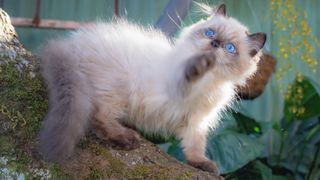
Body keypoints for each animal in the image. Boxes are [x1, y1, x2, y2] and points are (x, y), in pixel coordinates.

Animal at [38, 3, 266, 174]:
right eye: (209, 33)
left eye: (230, 48)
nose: (215, 44)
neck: (209, 82)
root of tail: (71, 44)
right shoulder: (178, 88)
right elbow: (189, 76)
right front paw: (199, 64)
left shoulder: (197, 121)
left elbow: (195, 146)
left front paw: (202, 164)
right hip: (117, 88)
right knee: (100, 116)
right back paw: (126, 138)